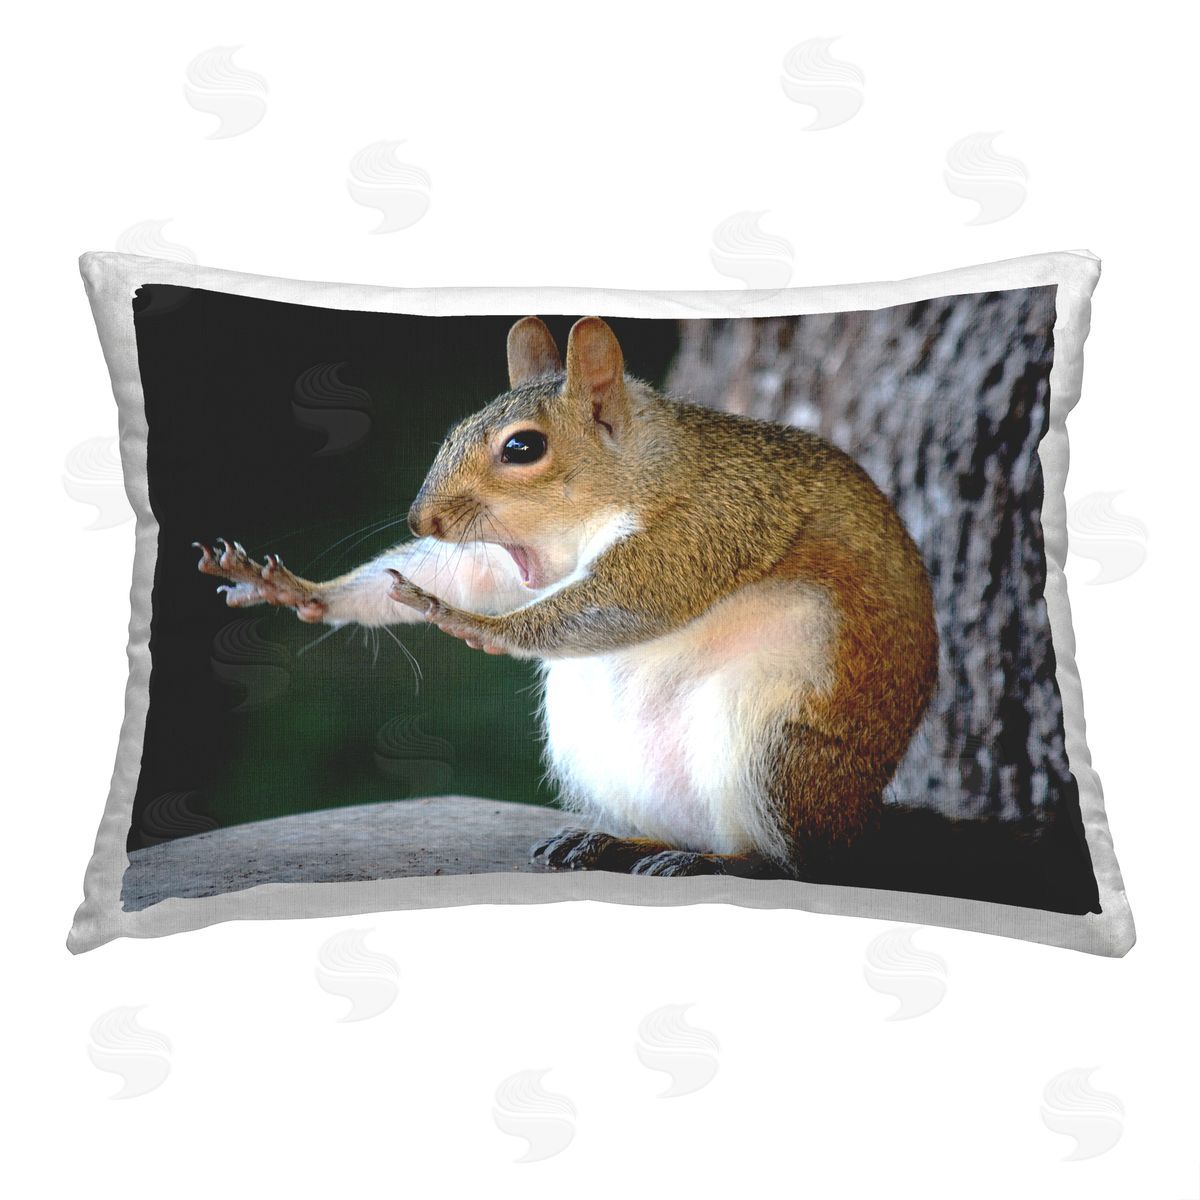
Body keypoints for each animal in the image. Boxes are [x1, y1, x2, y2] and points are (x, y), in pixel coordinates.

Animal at [195, 315, 939, 878]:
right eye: (454, 431)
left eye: (523, 448)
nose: (421, 520)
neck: (646, 471)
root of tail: (854, 822)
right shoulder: (516, 560)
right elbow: (467, 576)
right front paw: (302, 590)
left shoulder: (712, 523)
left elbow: (634, 600)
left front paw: (472, 624)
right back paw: (612, 840)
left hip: (775, 749)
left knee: (792, 860)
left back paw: (722, 860)